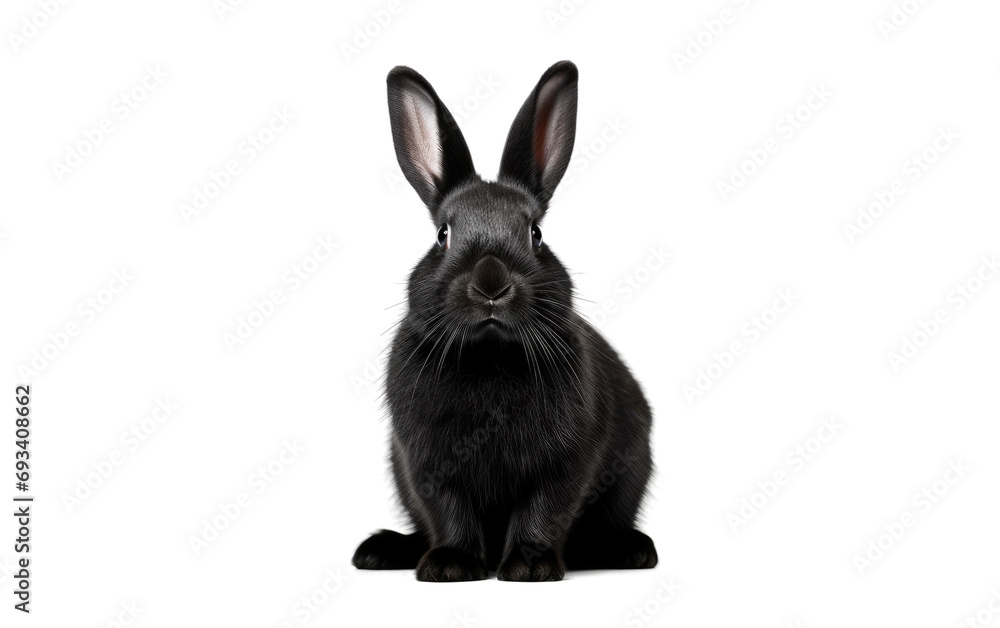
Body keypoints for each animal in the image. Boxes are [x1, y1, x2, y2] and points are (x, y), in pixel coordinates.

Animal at [352, 60, 658, 582]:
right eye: (443, 235)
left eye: (535, 234)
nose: (491, 285)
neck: (490, 356)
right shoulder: (426, 464)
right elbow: (449, 512)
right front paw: (450, 564)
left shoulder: (565, 461)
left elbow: (544, 507)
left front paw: (528, 568)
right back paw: (381, 551)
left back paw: (632, 550)